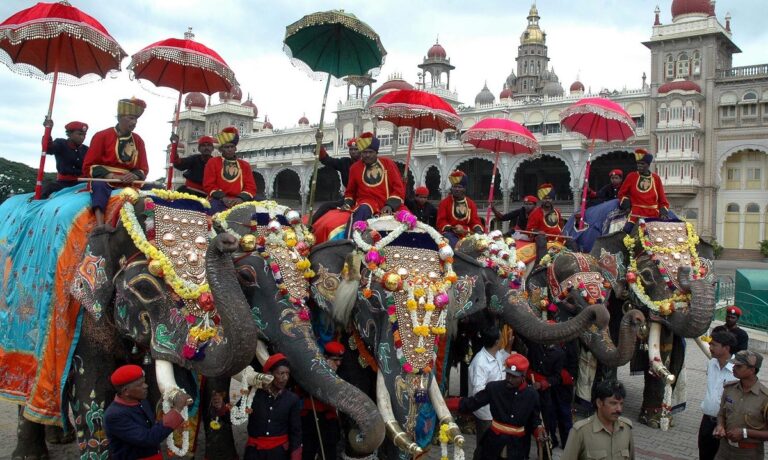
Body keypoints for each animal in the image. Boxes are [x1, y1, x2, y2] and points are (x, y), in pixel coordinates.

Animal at [0, 188, 260, 460]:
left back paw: (59, 436)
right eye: (145, 288)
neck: (113, 224)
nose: (226, 241)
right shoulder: (85, 314)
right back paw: (31, 453)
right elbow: (92, 387)